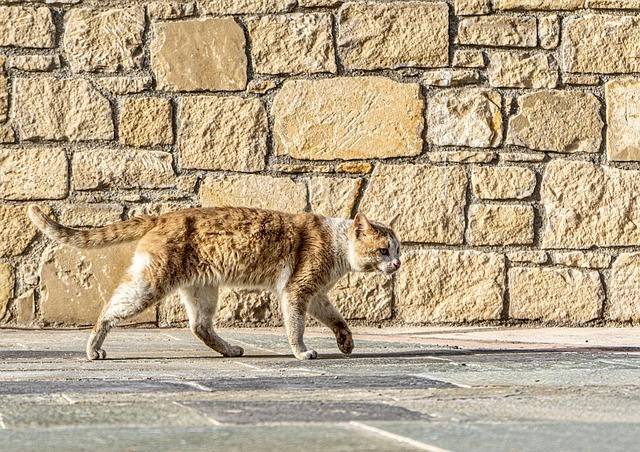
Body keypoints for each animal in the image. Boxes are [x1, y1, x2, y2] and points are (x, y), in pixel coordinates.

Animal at [30, 207, 402, 362]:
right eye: (383, 250)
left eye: (398, 250)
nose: (398, 264)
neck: (336, 243)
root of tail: (163, 215)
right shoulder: (297, 291)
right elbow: (295, 327)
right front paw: (301, 352)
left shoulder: (317, 295)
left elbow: (338, 319)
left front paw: (346, 344)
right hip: (149, 285)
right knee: (108, 310)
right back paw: (93, 349)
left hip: (203, 290)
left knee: (199, 326)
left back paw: (229, 349)